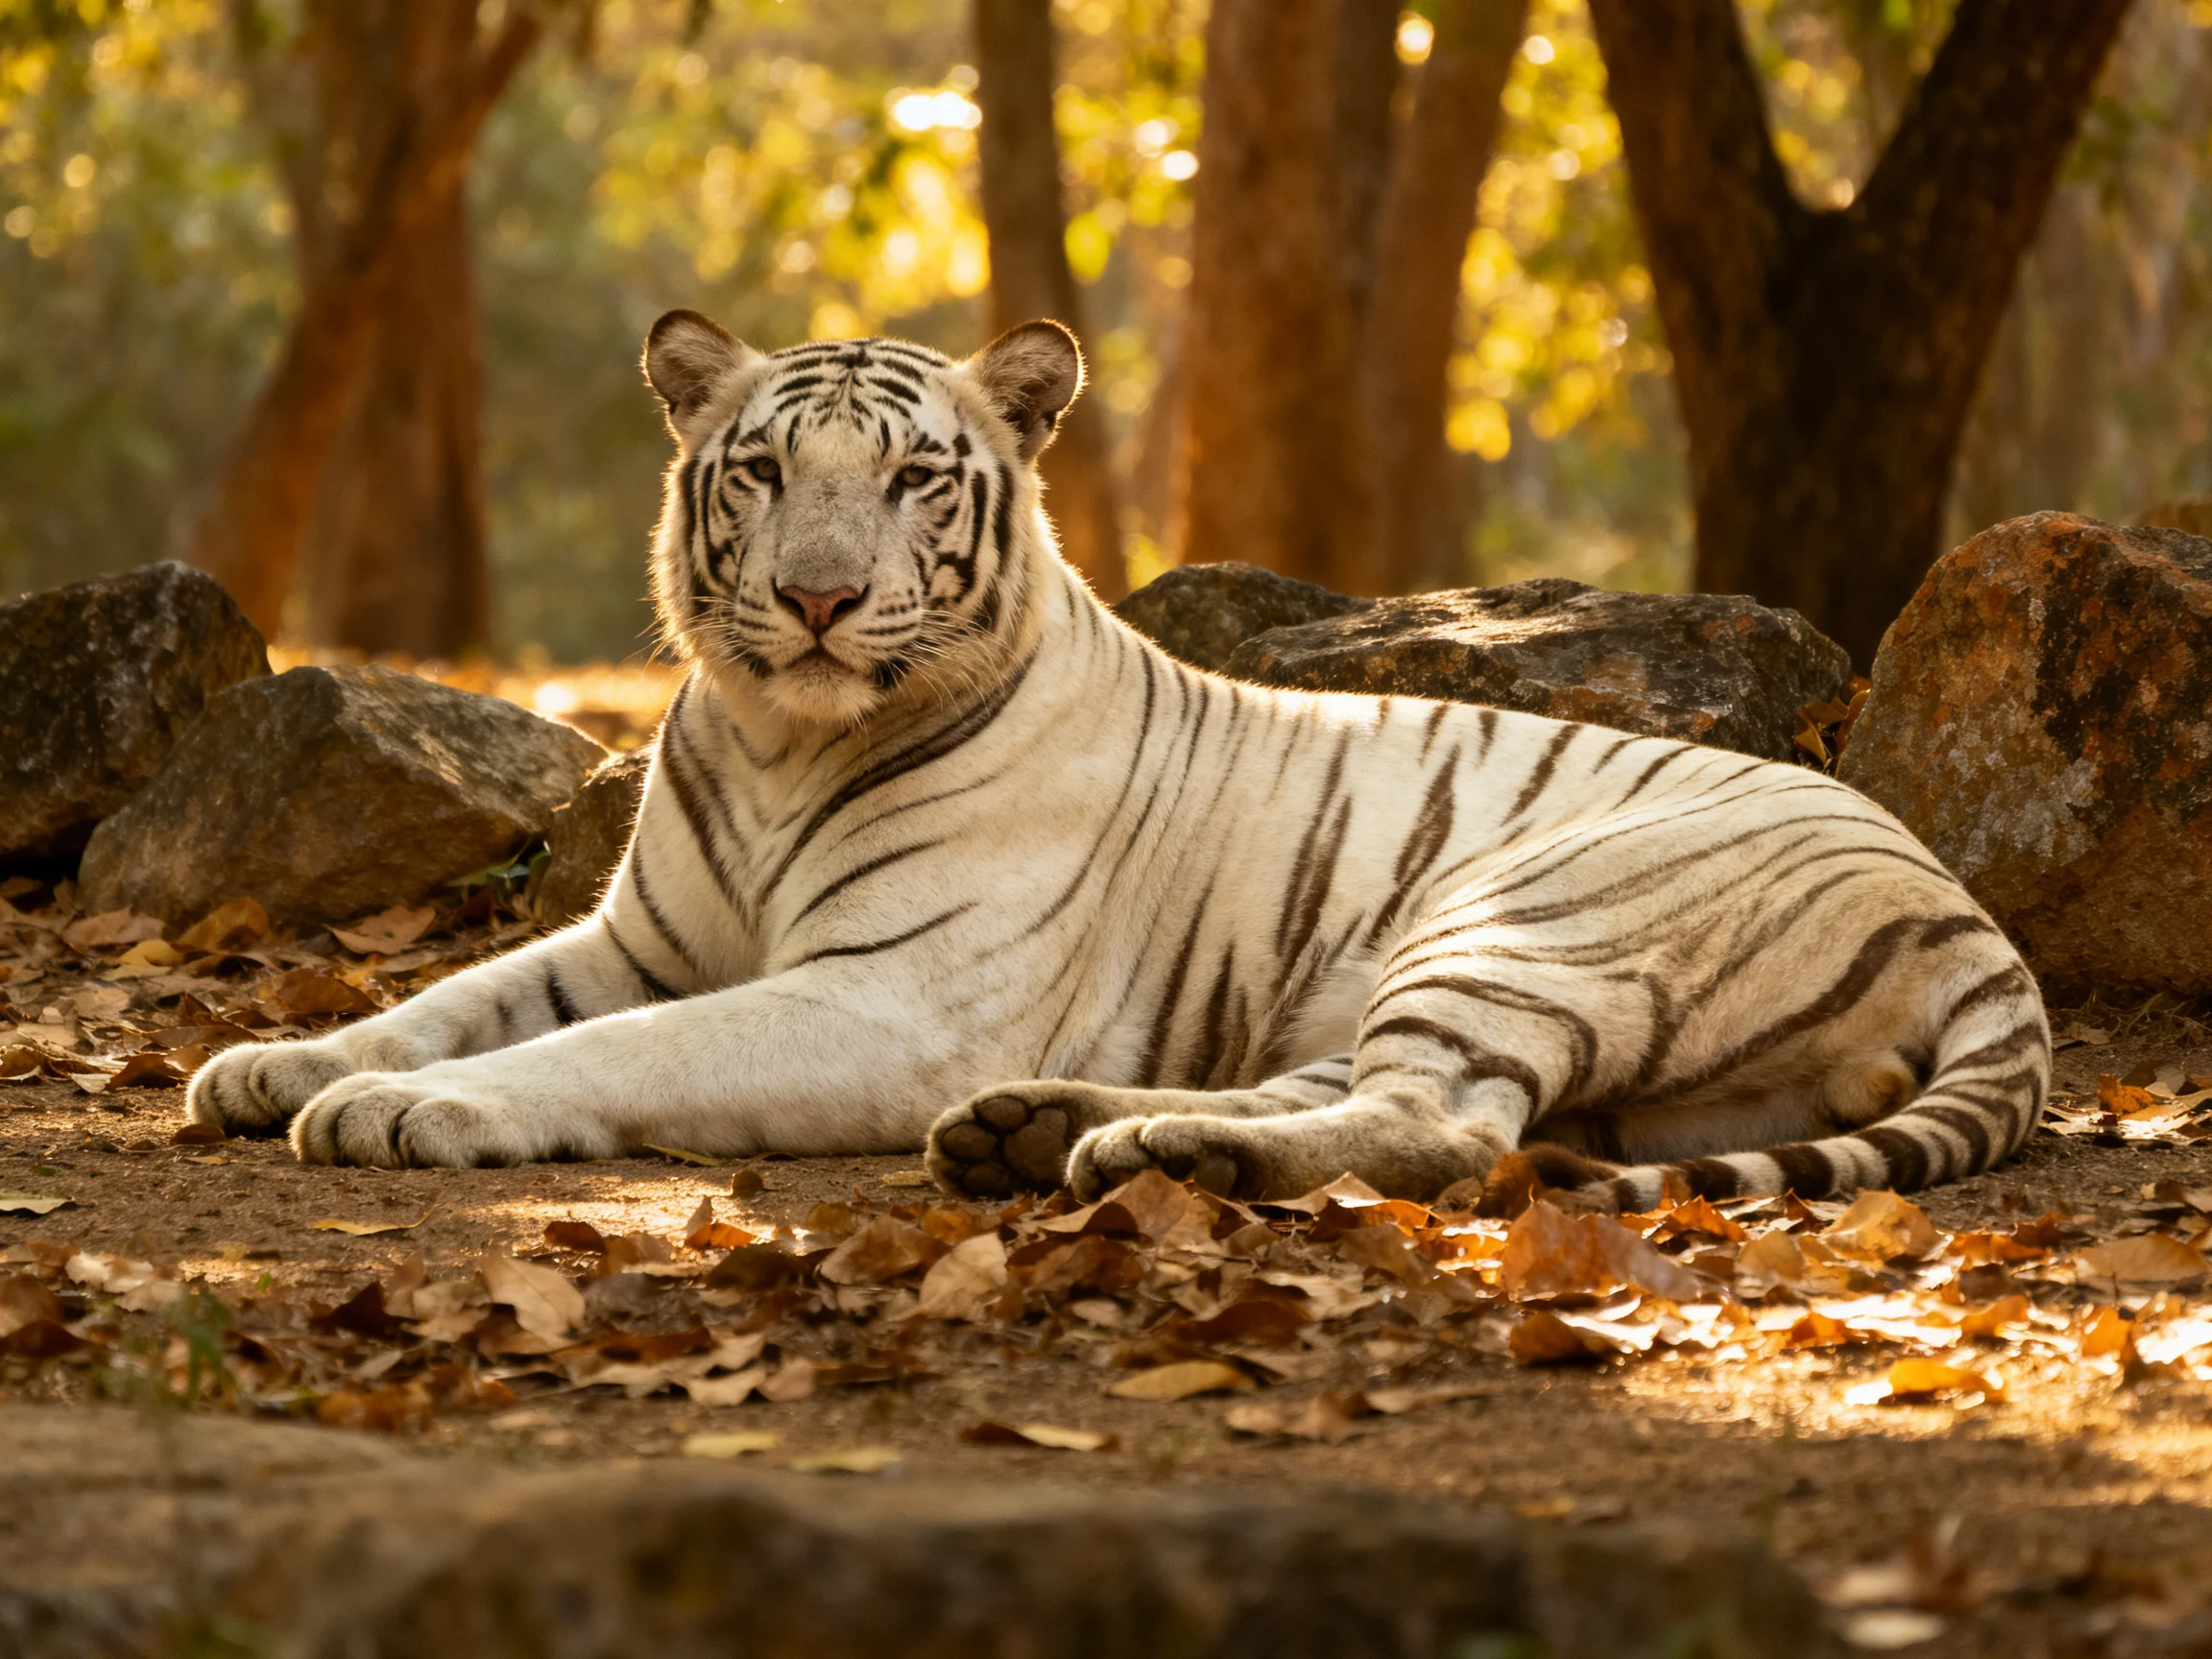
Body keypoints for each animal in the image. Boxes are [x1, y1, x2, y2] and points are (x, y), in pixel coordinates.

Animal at [186, 309, 2049, 1215]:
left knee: (1439, 1125)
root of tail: (1971, 918)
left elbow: (608, 1052)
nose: (816, 599)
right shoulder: (637, 937)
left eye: (914, 479)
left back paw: (1164, 1164)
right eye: (764, 472)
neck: (782, 734)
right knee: (1363, 1095)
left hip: (1525, 915)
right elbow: (453, 994)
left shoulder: (884, 994)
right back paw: (1055, 1135)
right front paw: (280, 1060)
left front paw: (412, 1112)